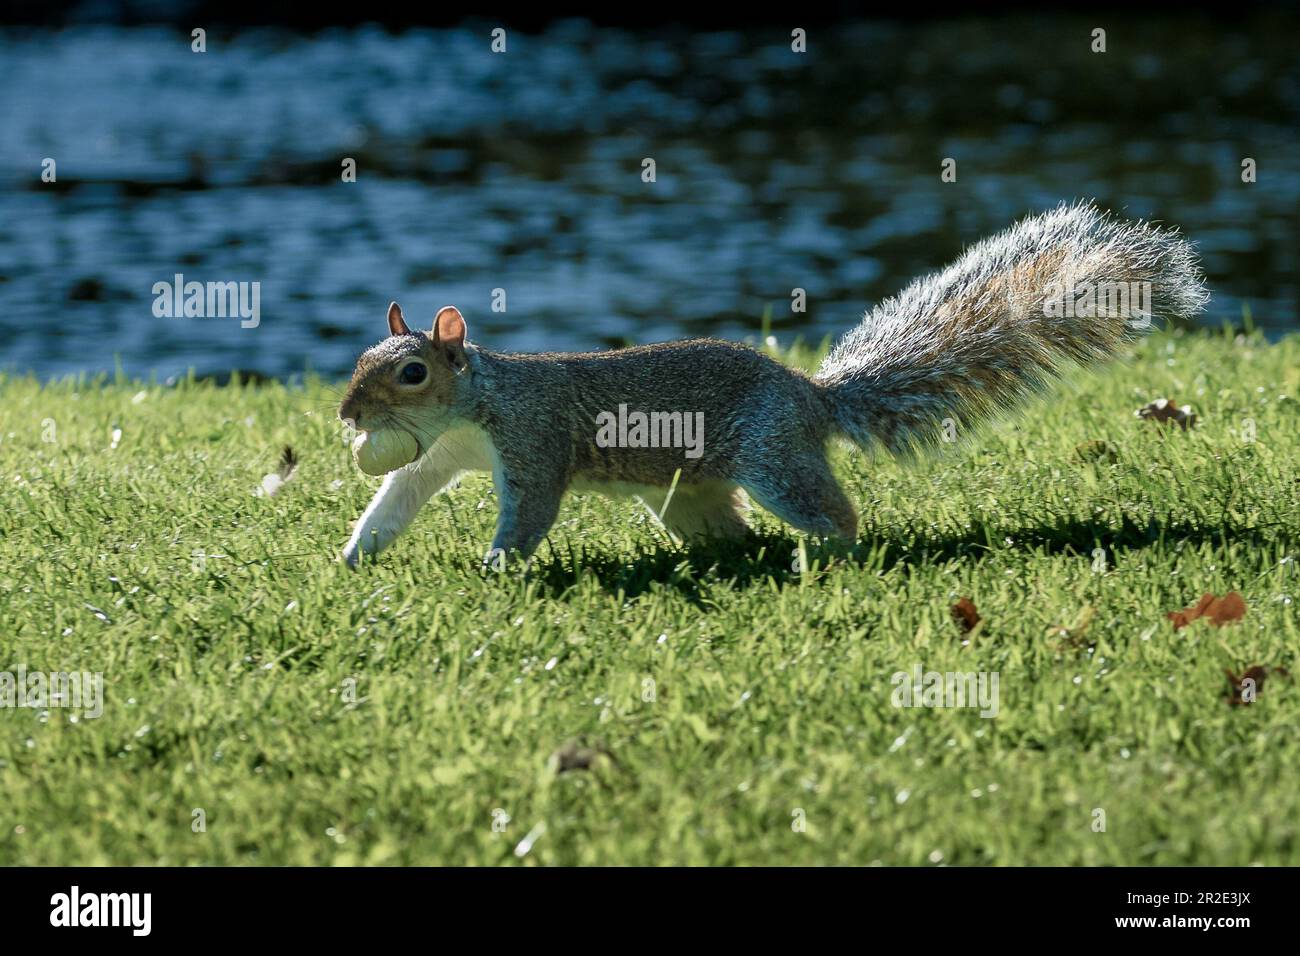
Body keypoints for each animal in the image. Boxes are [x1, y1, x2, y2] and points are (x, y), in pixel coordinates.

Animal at [338, 197, 1206, 564]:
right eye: (358, 360)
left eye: (412, 371)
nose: (346, 414)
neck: (472, 408)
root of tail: (811, 398)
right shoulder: (435, 456)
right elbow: (395, 502)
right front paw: (353, 559)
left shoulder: (532, 443)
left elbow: (529, 513)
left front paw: (497, 567)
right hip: (689, 495)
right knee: (730, 529)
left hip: (774, 458)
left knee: (831, 511)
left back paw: (835, 554)